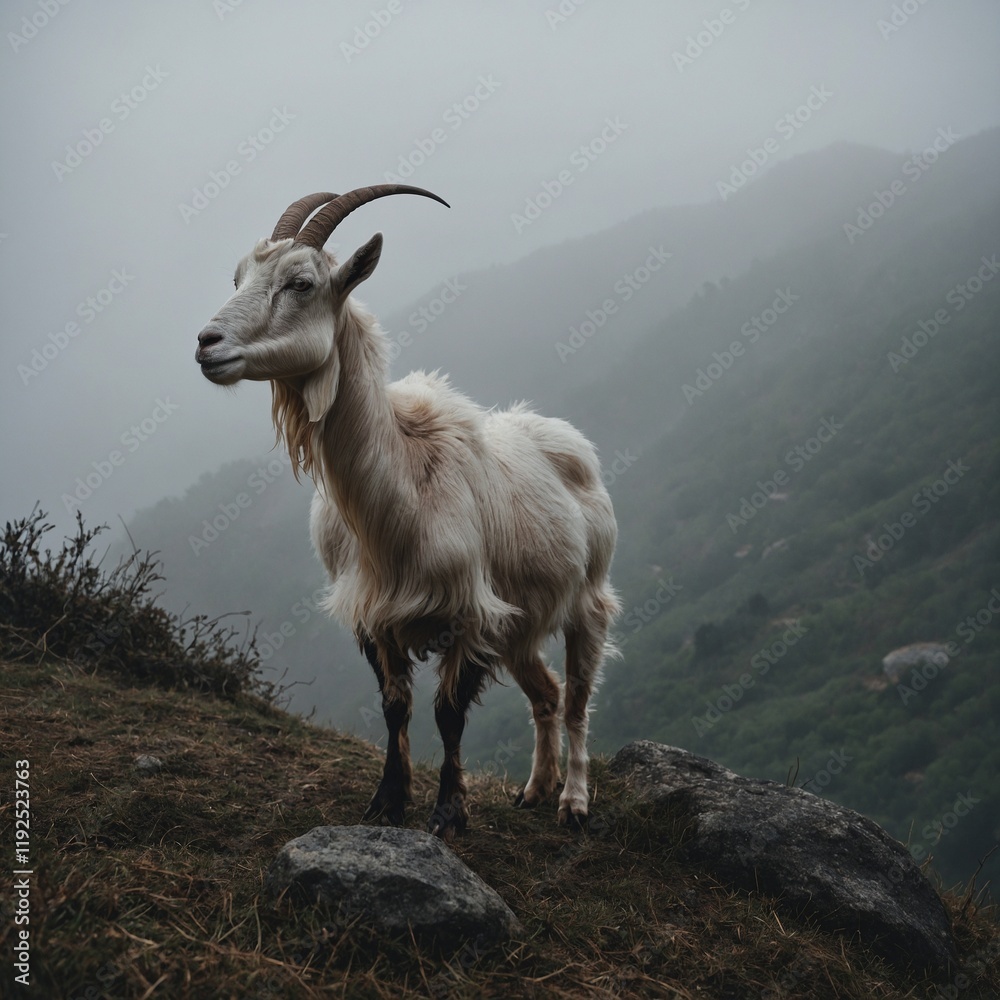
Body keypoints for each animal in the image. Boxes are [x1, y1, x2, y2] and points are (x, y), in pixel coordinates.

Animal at [194, 186, 621, 838]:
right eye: (239, 276)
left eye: (300, 283)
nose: (206, 344)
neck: (400, 490)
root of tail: (572, 447)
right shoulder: (375, 614)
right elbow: (396, 707)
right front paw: (387, 803)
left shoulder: (469, 613)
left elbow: (449, 715)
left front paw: (448, 813)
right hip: (520, 622)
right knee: (546, 694)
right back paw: (534, 790)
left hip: (588, 600)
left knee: (575, 698)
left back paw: (572, 800)